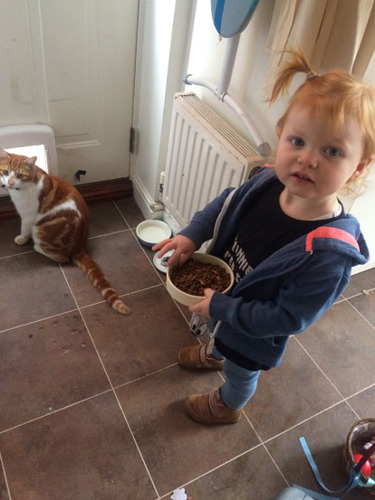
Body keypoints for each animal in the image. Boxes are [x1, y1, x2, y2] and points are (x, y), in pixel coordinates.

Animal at [0, 146, 131, 314]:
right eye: (5, 172)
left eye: (19, 175)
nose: (9, 183)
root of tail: (80, 246)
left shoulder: (28, 216)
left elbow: (24, 229)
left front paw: (22, 239)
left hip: (40, 229)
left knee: (62, 257)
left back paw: (38, 247)